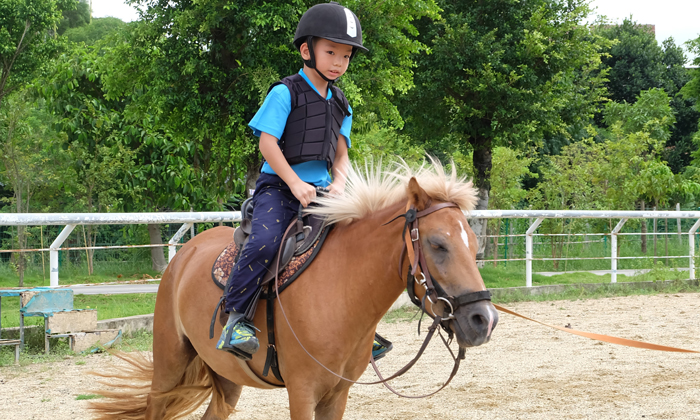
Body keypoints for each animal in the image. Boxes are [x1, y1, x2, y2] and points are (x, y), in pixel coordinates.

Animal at [90, 158, 498, 420]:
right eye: (438, 244)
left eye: (472, 243)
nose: (484, 320)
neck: (342, 291)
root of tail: (184, 256)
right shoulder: (302, 393)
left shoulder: (336, 396)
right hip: (169, 366)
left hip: (227, 379)